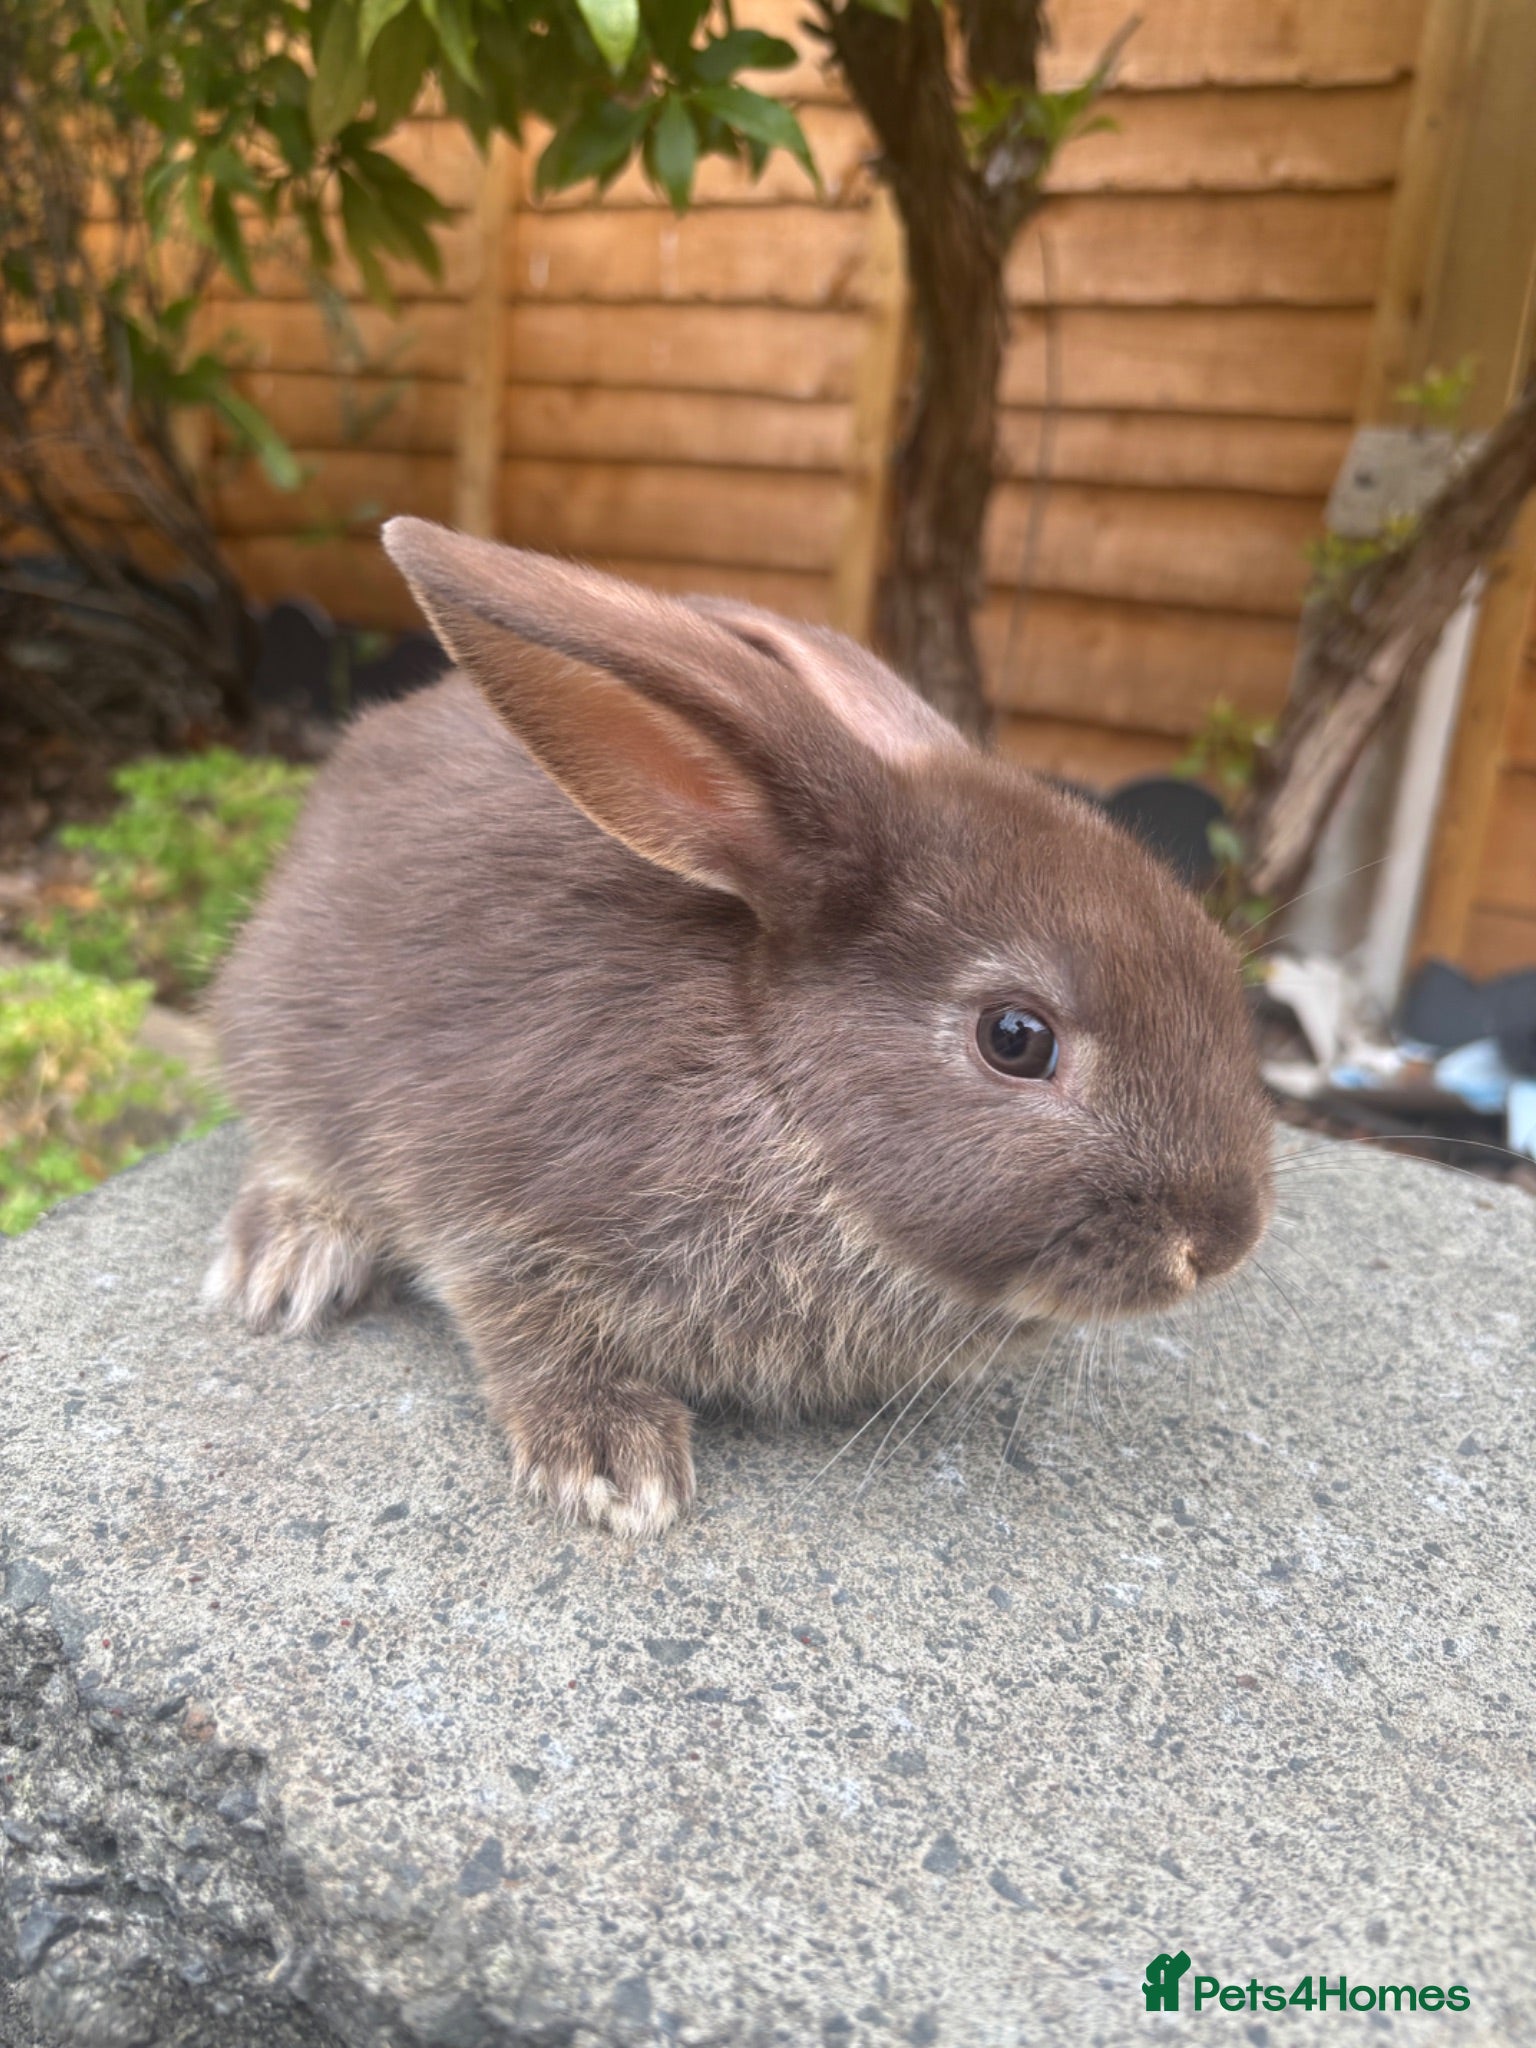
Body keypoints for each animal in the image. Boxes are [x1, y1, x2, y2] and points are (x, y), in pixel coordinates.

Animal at [206, 519, 1274, 1537]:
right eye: (1016, 1039)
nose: (1222, 1243)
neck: (774, 1102)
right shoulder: (486, 1188)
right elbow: (522, 1326)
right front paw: (612, 1461)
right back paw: (288, 1263)